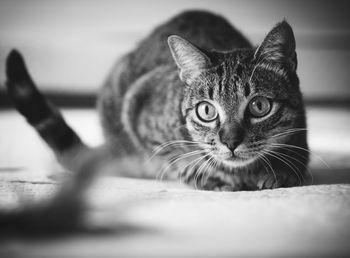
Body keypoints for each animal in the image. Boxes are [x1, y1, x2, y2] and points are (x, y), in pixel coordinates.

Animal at [2, 11, 310, 233]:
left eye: (259, 106)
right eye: (206, 111)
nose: (231, 141)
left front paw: (282, 170)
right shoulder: (137, 106)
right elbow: (175, 157)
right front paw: (207, 174)